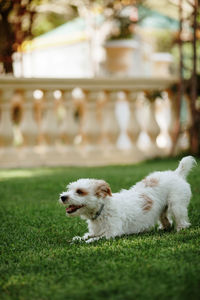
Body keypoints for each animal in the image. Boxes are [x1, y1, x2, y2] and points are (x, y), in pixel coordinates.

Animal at [59, 156, 195, 243]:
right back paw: (164, 228)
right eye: (69, 189)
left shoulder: (112, 233)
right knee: (165, 219)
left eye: (79, 191)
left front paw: (87, 242)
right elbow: (86, 236)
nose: (62, 197)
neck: (102, 210)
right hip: (162, 209)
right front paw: (78, 239)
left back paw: (180, 229)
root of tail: (176, 173)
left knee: (182, 220)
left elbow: (96, 239)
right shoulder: (95, 231)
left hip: (176, 206)